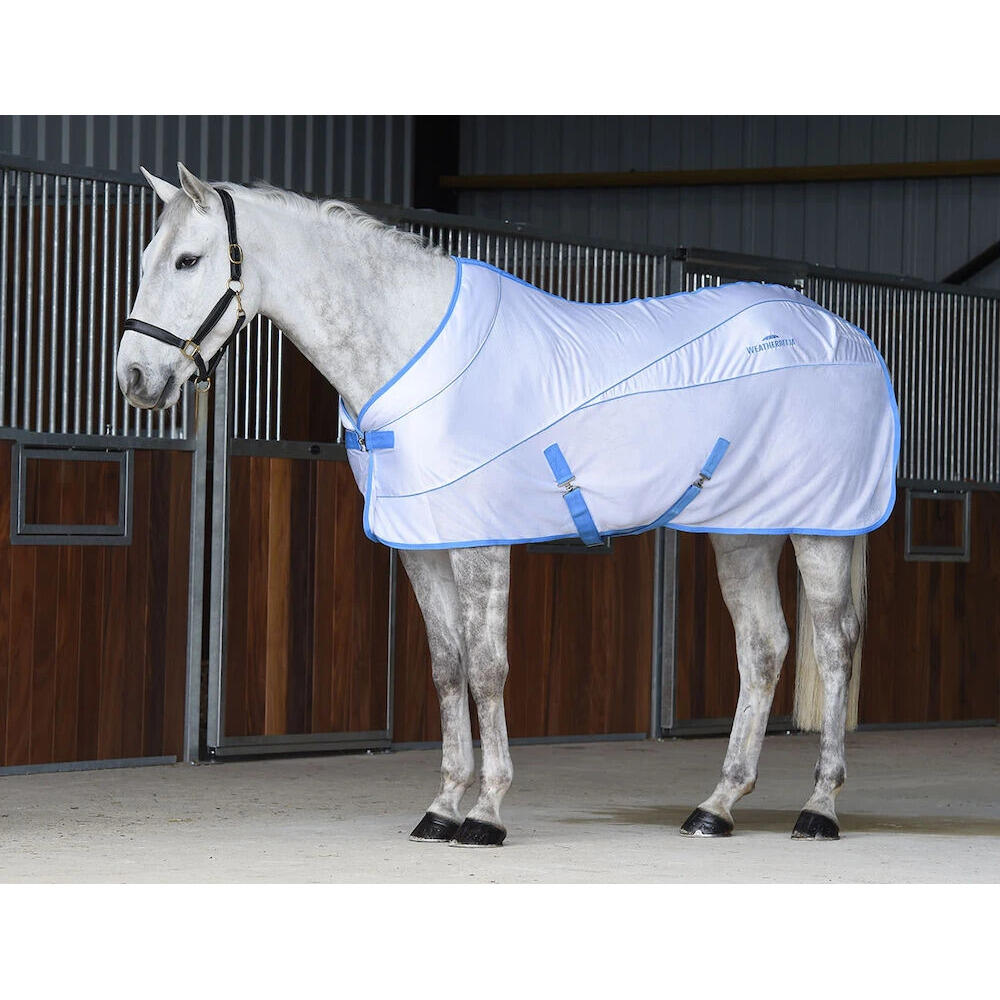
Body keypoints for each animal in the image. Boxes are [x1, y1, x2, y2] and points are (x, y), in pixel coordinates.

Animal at [117, 163, 880, 847]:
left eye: (188, 260)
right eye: (149, 257)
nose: (133, 377)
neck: (412, 348)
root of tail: (838, 331)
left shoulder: (480, 545)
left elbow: (488, 669)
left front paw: (486, 814)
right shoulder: (423, 546)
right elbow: (447, 668)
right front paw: (442, 808)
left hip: (821, 529)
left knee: (836, 645)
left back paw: (818, 809)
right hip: (744, 531)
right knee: (763, 646)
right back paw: (716, 807)